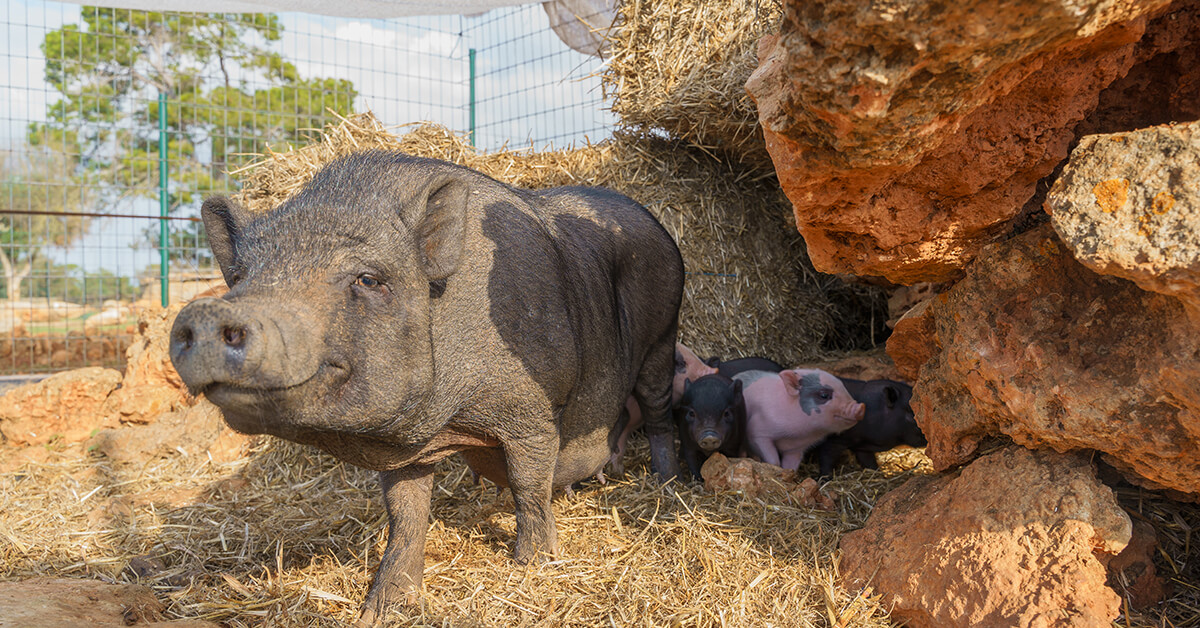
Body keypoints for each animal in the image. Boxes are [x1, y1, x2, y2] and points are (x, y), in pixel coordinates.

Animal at [166, 150, 686, 624]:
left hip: (663, 335)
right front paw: (383, 608)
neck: (447, 420)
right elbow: (405, 516)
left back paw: (666, 483)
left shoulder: (531, 412)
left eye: (369, 278)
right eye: (240, 277)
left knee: (658, 408)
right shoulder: (405, 451)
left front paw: (532, 564)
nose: (207, 313)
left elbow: (528, 486)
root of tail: (656, 223)